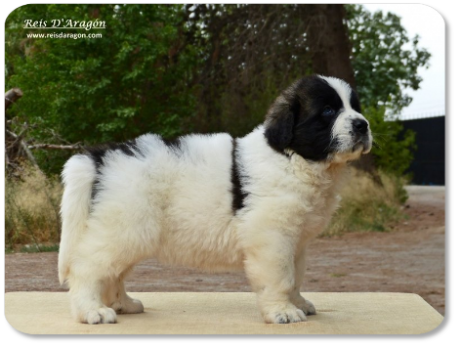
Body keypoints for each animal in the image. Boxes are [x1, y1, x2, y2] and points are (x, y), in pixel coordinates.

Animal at [58, 75, 374, 324]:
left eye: (355, 108)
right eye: (329, 111)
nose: (362, 125)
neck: (293, 159)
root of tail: (99, 156)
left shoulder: (296, 241)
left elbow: (296, 276)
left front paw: (298, 304)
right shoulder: (273, 237)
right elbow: (281, 277)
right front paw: (282, 312)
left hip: (128, 232)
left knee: (114, 273)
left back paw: (123, 304)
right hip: (125, 227)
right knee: (87, 268)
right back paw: (92, 311)